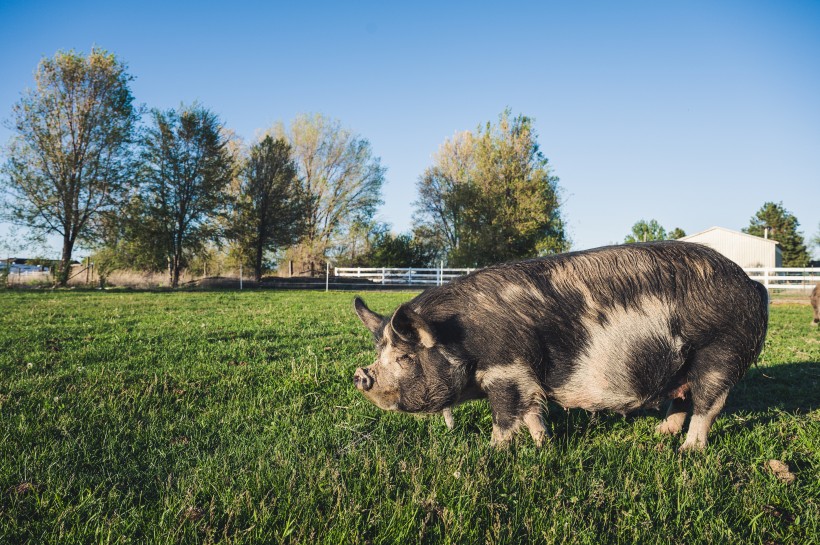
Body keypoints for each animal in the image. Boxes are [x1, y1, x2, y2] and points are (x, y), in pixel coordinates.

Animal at [352, 240, 768, 448]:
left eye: (404, 357)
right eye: (379, 352)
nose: (361, 376)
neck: (462, 339)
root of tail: (753, 285)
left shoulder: (507, 371)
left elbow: (506, 417)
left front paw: (492, 452)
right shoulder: (527, 379)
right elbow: (533, 413)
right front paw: (543, 446)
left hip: (721, 353)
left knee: (708, 406)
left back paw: (688, 451)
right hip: (684, 365)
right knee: (680, 398)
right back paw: (658, 435)